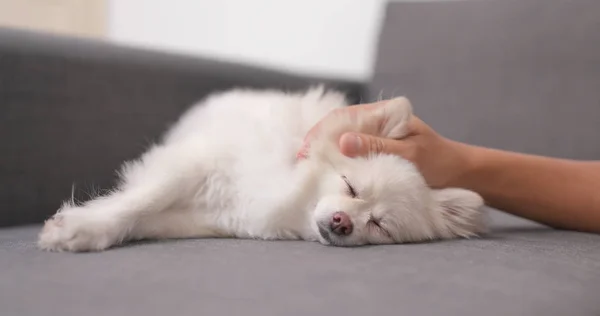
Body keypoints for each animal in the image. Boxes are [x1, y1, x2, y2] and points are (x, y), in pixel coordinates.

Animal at [36, 86, 482, 252]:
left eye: (378, 225)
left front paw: (88, 229)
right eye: (349, 187)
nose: (342, 222)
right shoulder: (195, 162)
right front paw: (82, 227)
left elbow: (146, 218)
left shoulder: (205, 218)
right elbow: (142, 199)